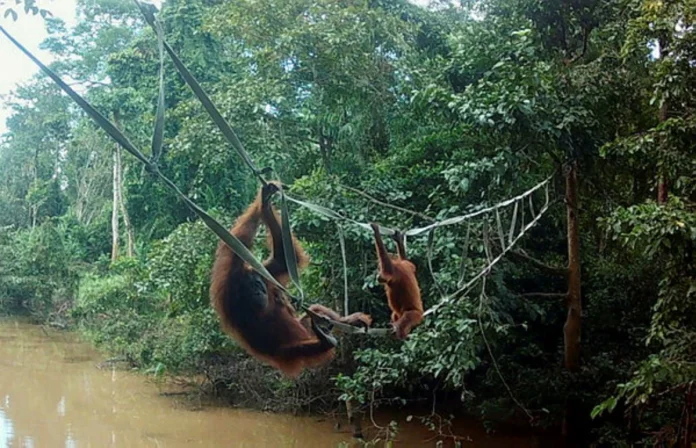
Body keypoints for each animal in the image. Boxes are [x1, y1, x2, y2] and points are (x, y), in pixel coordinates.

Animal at [210, 182, 372, 377]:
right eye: (249, 290)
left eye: (257, 285)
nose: (258, 292)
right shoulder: (232, 302)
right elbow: (277, 348)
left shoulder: (262, 273)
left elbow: (281, 259)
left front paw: (265, 203)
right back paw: (325, 339)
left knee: (315, 311)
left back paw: (346, 321)